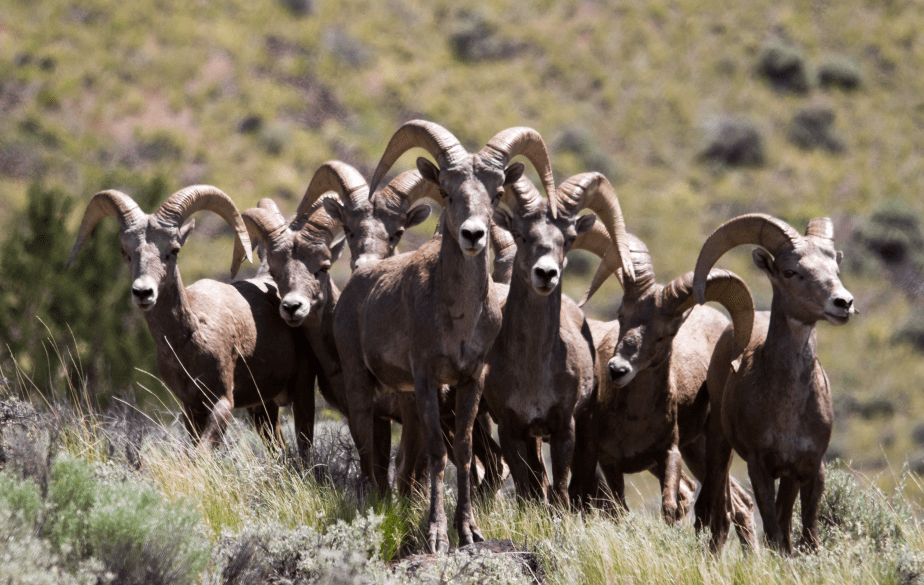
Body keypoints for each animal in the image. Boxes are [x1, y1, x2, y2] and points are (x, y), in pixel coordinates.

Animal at [67, 185, 315, 457]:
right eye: (125, 252)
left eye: (174, 250)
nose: (143, 293)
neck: (187, 339)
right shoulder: (191, 409)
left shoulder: (223, 402)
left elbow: (201, 454)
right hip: (263, 407)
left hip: (302, 393)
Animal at [332, 120, 556, 553]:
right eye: (448, 192)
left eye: (496, 192)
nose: (473, 235)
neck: (459, 320)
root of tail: (355, 284)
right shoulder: (426, 379)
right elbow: (437, 454)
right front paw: (436, 535)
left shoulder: (470, 380)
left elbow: (465, 454)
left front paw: (468, 532)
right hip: (358, 382)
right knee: (368, 450)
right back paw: (375, 507)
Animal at [482, 172, 634, 505]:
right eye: (521, 235)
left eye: (569, 238)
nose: (546, 274)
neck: (533, 372)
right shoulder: (512, 429)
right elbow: (525, 488)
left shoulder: (565, 427)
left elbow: (560, 489)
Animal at [566, 223, 756, 540]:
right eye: (621, 315)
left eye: (665, 334)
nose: (617, 370)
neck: (633, 421)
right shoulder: (608, 461)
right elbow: (618, 509)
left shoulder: (669, 454)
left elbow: (669, 506)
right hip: (697, 450)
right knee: (737, 504)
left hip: (710, 446)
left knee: (730, 506)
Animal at [691, 213, 856, 553]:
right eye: (790, 272)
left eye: (835, 270)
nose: (843, 303)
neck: (788, 411)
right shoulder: (760, 468)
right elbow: (774, 533)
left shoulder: (808, 469)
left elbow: (804, 535)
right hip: (719, 446)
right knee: (717, 515)